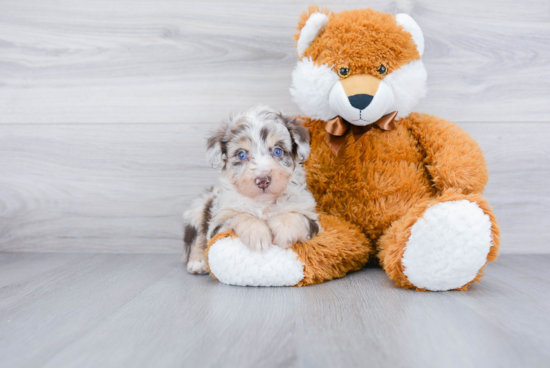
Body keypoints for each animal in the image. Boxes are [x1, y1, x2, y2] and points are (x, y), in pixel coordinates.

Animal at [183, 105, 322, 274]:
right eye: (241, 154)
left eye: (277, 151)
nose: (262, 180)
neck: (263, 202)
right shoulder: (219, 222)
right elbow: (240, 216)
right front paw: (257, 234)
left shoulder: (311, 216)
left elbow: (294, 217)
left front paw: (284, 232)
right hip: (199, 208)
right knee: (196, 236)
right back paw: (198, 261)